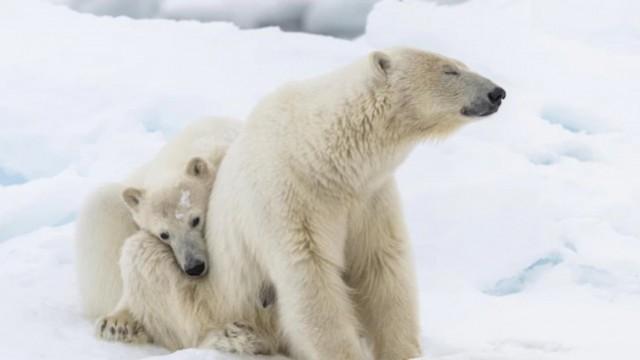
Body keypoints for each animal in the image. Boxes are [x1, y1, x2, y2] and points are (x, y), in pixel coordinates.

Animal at [205, 46, 504, 358]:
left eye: (462, 64)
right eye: (449, 70)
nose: (497, 93)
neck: (318, 156)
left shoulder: (370, 197)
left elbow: (382, 266)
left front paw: (402, 350)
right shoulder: (289, 197)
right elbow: (311, 277)